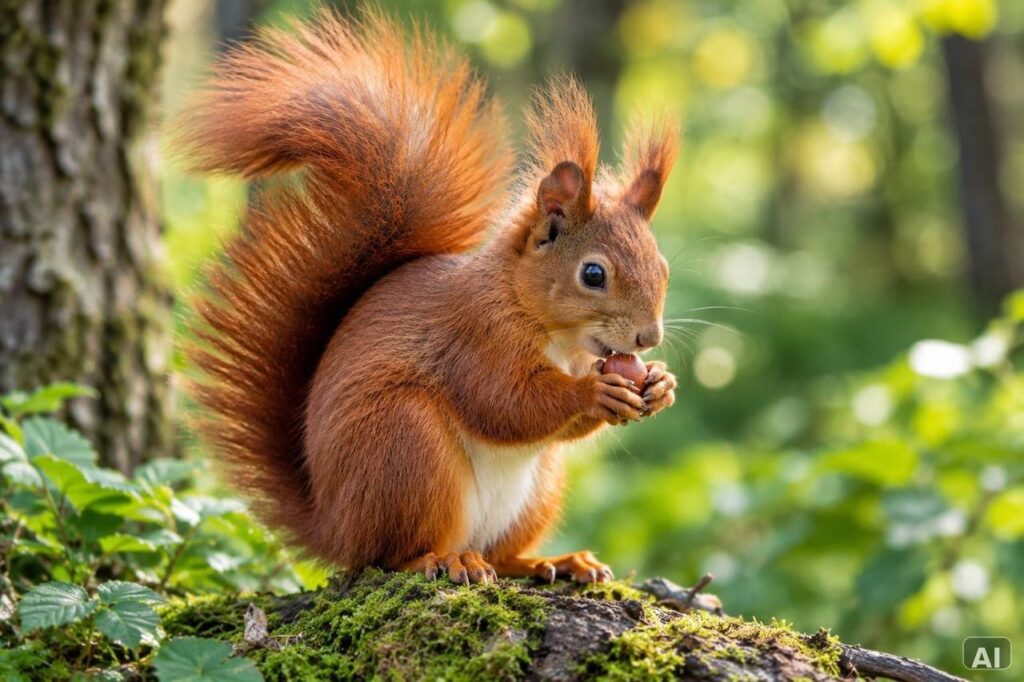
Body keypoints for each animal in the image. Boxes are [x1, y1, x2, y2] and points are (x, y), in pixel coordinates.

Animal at [179, 8, 678, 585]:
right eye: (593, 274)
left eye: (663, 267)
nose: (648, 337)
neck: (555, 333)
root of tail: (334, 526)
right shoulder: (475, 333)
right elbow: (504, 402)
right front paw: (594, 392)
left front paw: (661, 384)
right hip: (406, 447)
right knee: (392, 553)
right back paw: (442, 558)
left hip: (538, 489)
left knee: (500, 555)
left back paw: (552, 560)